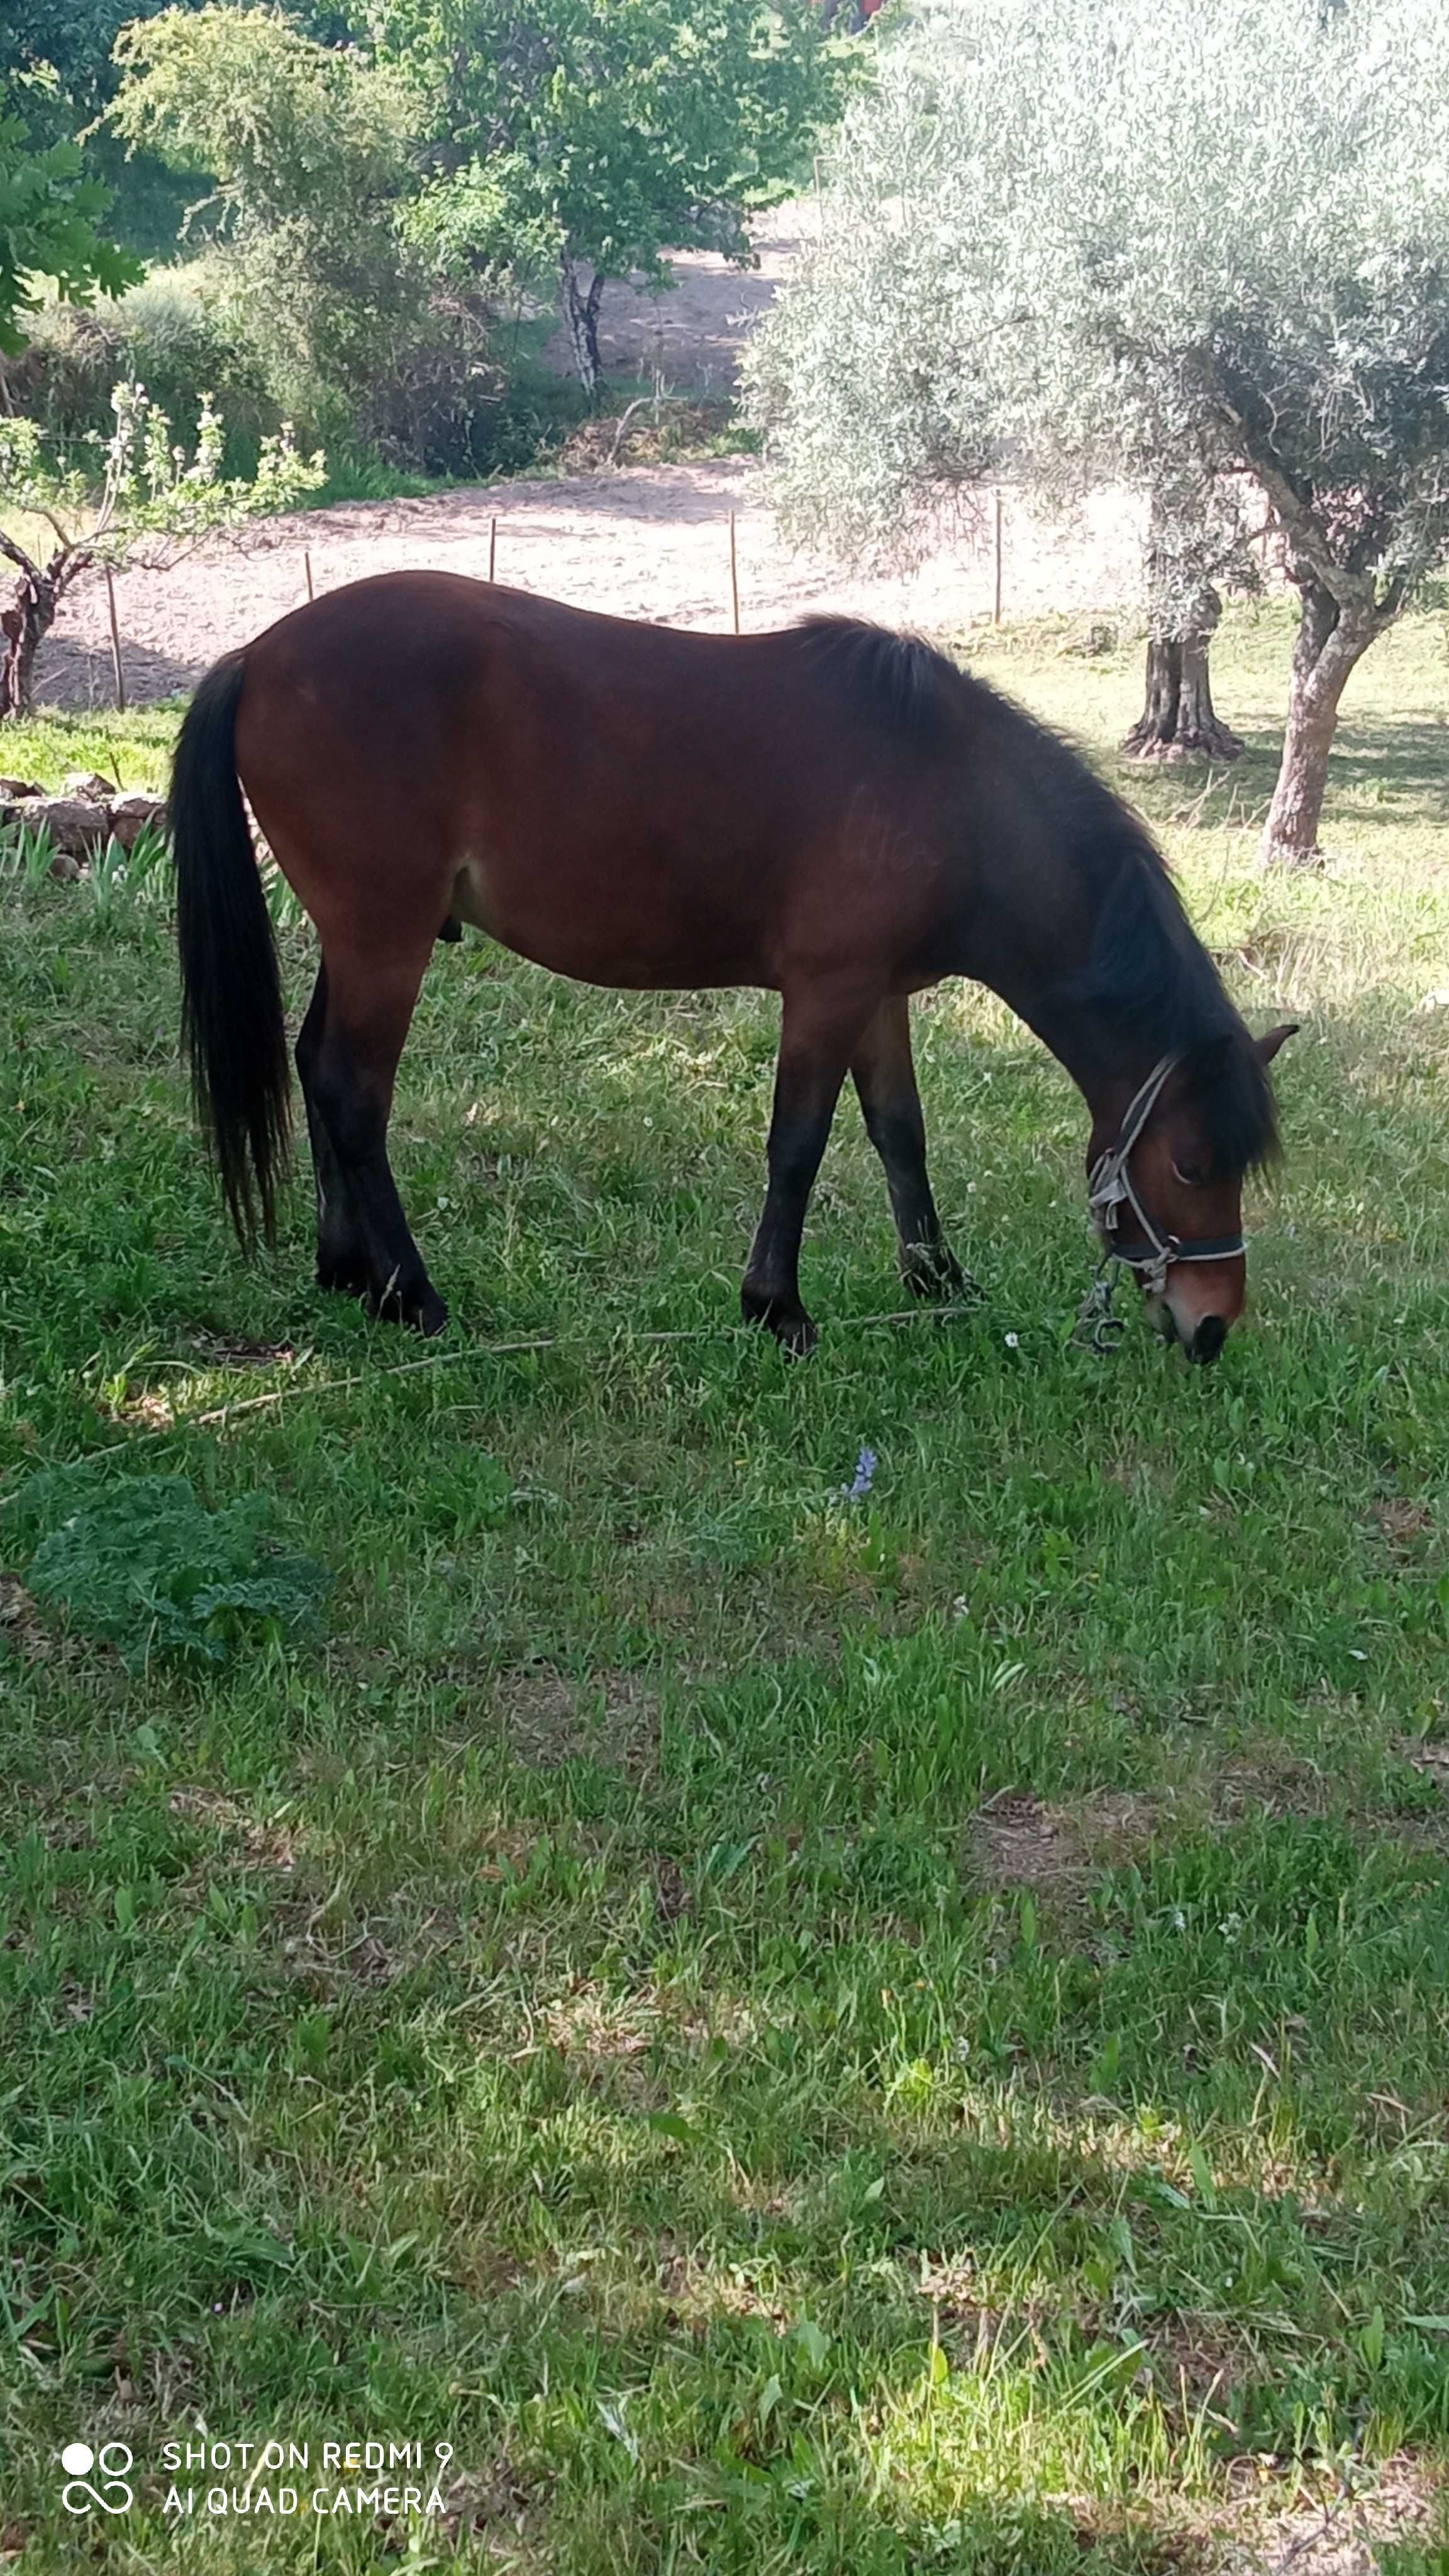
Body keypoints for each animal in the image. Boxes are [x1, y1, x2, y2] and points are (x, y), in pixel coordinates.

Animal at [166, 569, 1284, 1370]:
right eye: (1192, 1165)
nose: (1213, 1326)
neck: (951, 791)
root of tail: (257, 656)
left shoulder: (877, 997)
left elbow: (899, 1134)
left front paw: (936, 1279)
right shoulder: (826, 995)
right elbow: (798, 1146)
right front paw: (777, 1309)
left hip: (360, 943)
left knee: (316, 1070)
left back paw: (346, 1271)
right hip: (384, 943)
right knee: (353, 1094)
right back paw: (413, 1295)